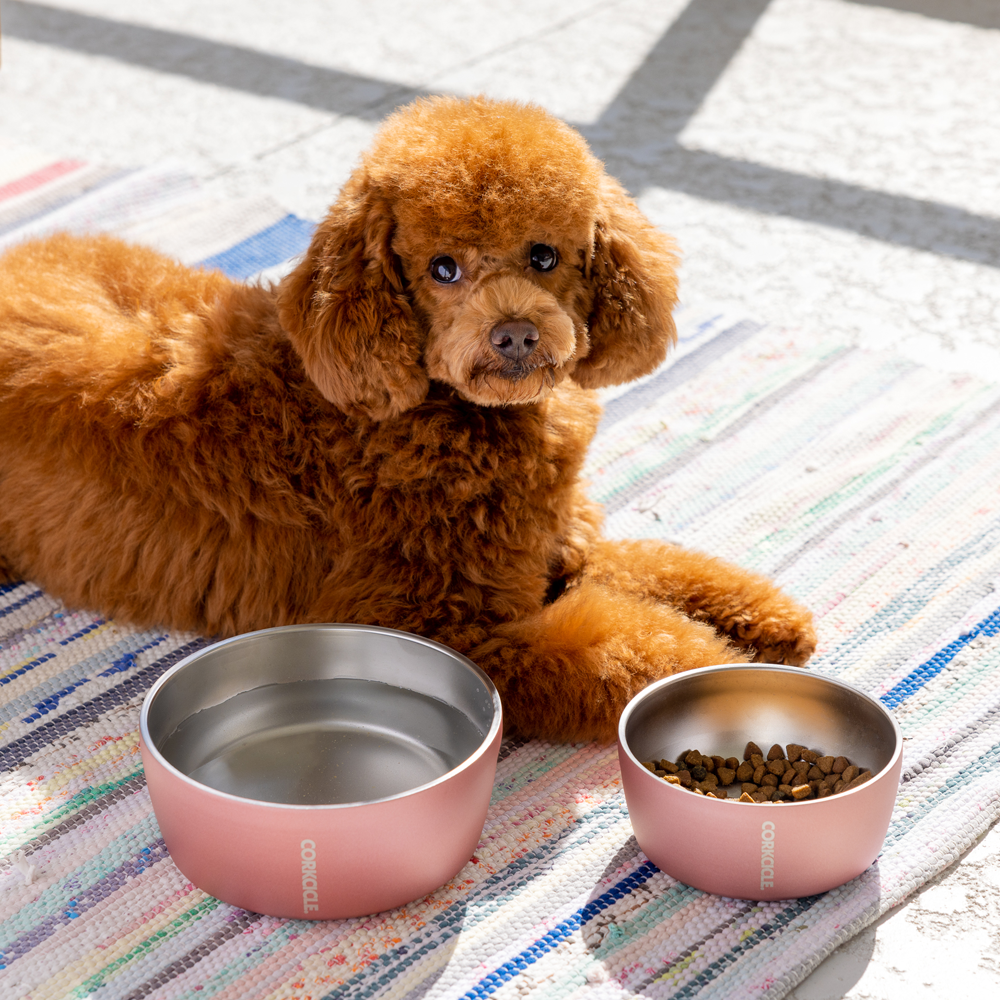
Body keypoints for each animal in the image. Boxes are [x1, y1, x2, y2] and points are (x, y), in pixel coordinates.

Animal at [0, 97, 812, 744]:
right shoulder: (449, 627)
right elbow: (628, 649)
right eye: (441, 268)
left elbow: (651, 564)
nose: (515, 334)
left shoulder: (554, 550)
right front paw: (720, 668)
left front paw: (758, 618)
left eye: (545, 255)